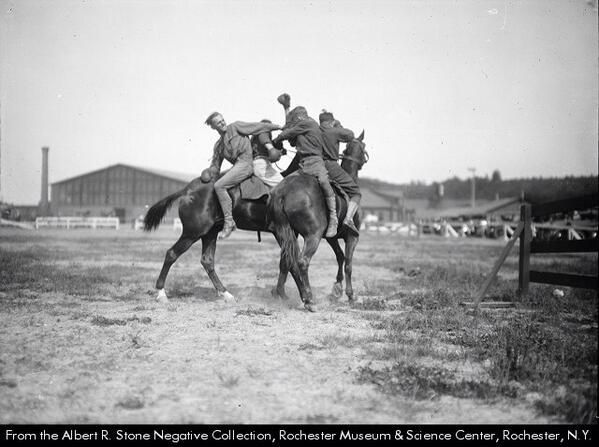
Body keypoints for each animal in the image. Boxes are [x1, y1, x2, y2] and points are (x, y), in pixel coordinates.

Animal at [268, 133, 370, 312]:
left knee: (289, 261)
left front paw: (336, 290)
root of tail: (282, 192)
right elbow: (348, 263)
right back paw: (309, 300)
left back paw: (289, 294)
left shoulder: (331, 237)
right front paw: (350, 295)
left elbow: (340, 257)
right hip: (312, 236)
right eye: (363, 147)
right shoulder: (352, 237)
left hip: (285, 234)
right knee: (302, 262)